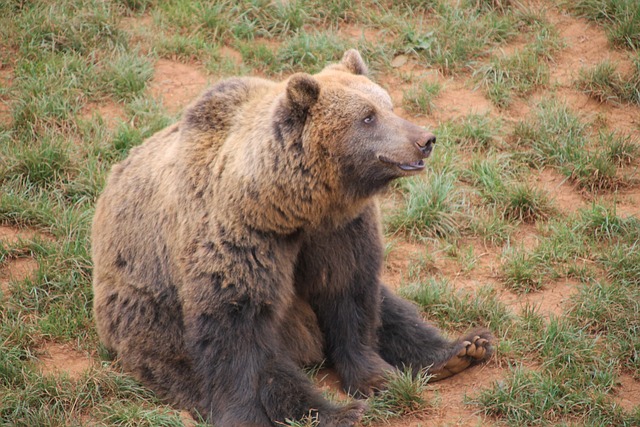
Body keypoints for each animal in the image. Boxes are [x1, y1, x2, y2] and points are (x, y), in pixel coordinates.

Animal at [91, 51, 490, 427]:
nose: (424, 140)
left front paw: (378, 376)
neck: (288, 207)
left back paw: (460, 350)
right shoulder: (240, 238)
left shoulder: (340, 230)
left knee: (392, 307)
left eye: (388, 105)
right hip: (151, 316)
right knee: (237, 367)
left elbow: (351, 292)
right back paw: (337, 413)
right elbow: (236, 335)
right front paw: (245, 416)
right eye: (367, 117)